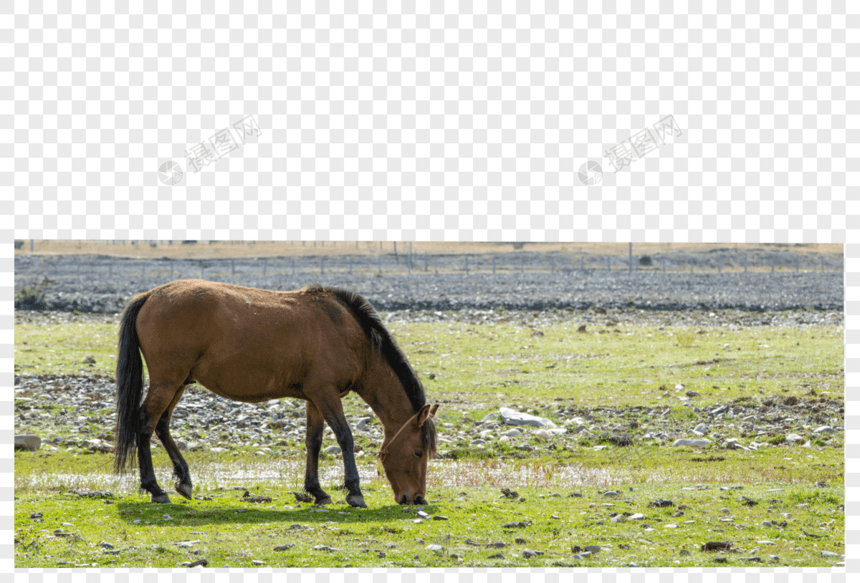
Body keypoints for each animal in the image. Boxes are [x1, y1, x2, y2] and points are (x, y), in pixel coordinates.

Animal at [111, 280, 440, 508]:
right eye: (418, 451)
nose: (416, 498)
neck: (349, 334)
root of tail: (150, 296)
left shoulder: (315, 398)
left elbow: (314, 442)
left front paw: (317, 492)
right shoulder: (326, 394)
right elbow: (345, 436)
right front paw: (354, 492)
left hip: (179, 383)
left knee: (162, 425)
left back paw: (184, 480)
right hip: (168, 381)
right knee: (145, 424)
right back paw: (155, 488)